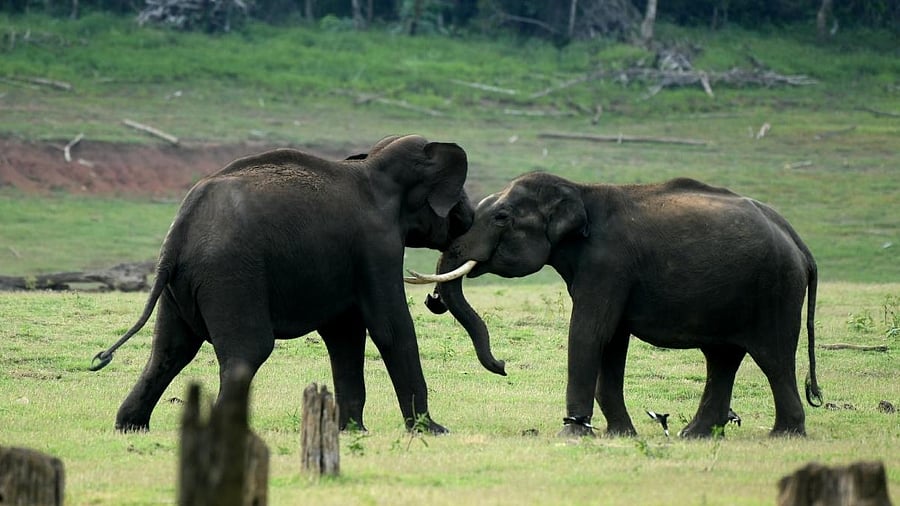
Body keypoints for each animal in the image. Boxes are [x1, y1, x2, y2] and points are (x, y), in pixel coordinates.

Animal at [90, 134, 489, 434]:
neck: (372, 165)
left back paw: (130, 426)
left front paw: (352, 431)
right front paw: (433, 431)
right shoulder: (378, 244)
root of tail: (179, 231)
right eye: (460, 192)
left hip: (182, 284)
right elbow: (390, 328)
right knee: (247, 351)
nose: (469, 216)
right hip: (231, 274)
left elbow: (344, 332)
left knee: (170, 350)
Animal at [407, 172, 822, 438]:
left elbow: (589, 332)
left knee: (772, 357)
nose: (502, 366)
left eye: (501, 217)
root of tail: (799, 243)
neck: (578, 189)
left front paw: (572, 435)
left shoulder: (608, 264)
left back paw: (784, 435)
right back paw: (694, 435)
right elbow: (612, 341)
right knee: (722, 358)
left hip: (775, 290)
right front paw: (620, 434)